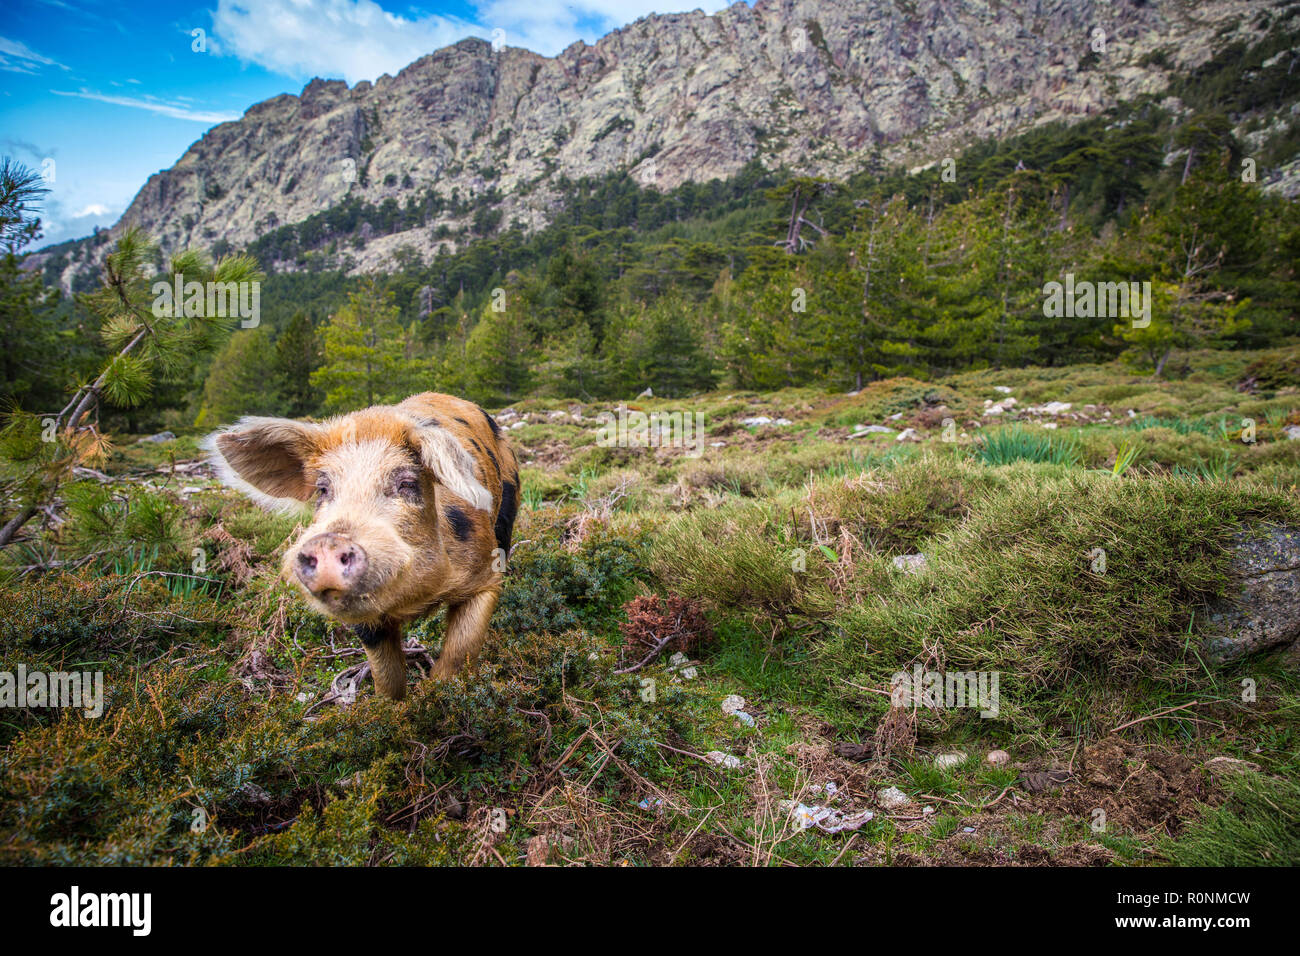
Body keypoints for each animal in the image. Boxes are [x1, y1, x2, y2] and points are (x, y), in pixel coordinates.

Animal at [203, 392, 519, 701]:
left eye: (406, 482)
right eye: (323, 489)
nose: (329, 542)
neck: (415, 600)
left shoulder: (485, 578)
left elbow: (457, 656)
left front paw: (437, 696)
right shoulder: (366, 624)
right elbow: (386, 677)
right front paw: (388, 707)